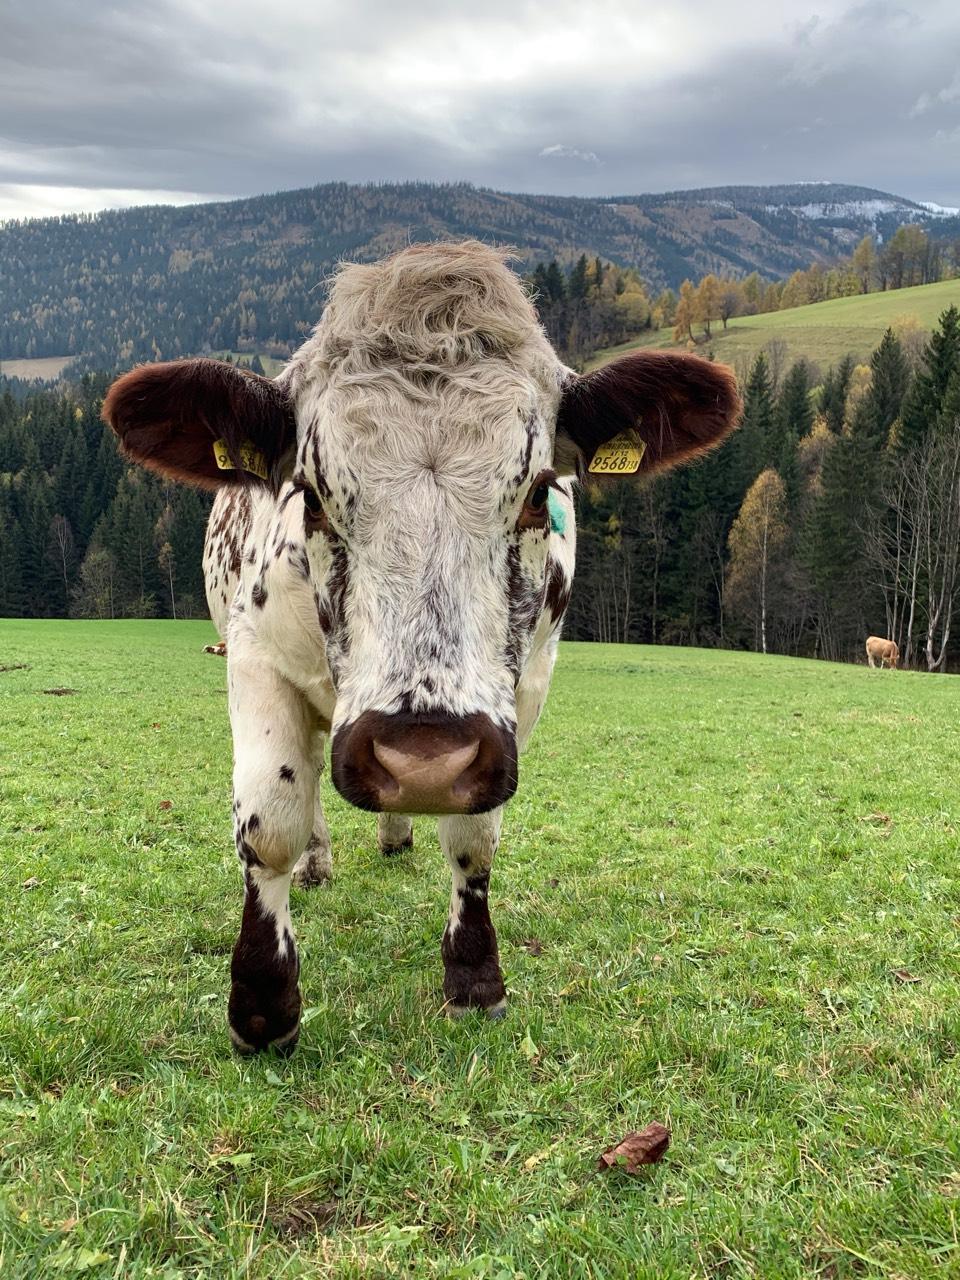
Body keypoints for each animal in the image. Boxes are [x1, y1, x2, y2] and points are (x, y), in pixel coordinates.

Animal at [101, 241, 742, 1059]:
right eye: (311, 494)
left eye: (538, 492)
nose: (421, 760)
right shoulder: (254, 658)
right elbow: (271, 822)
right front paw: (262, 1006)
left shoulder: (522, 691)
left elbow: (475, 837)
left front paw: (474, 980)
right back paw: (320, 861)